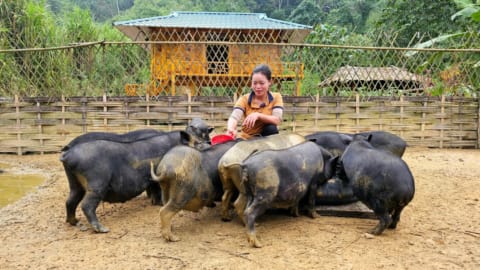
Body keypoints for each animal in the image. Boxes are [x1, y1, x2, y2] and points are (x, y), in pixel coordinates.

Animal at [60, 130, 210, 233]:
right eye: (197, 143)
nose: (209, 144)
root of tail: (67, 155)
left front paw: (155, 202)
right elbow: (159, 191)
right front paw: (159, 203)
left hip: (74, 183)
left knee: (70, 200)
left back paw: (75, 222)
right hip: (96, 184)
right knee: (86, 205)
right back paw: (103, 229)